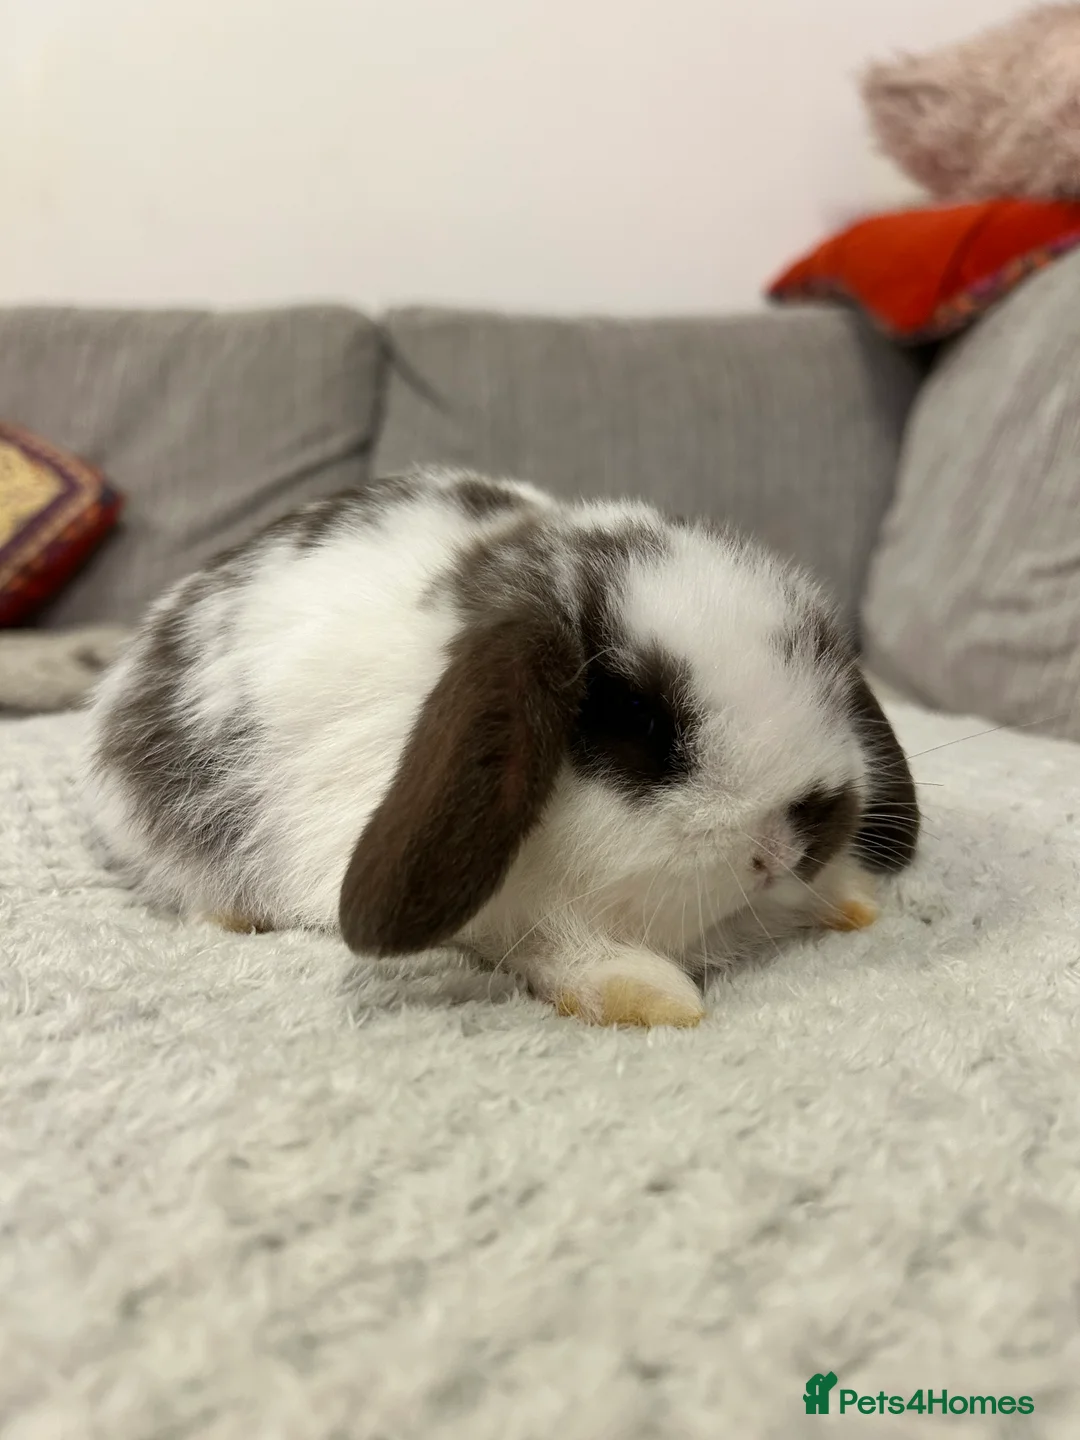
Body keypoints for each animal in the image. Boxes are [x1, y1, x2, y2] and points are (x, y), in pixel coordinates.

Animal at [84, 466, 919, 1028]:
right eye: (637, 718)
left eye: (830, 674)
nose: (783, 845)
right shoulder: (510, 916)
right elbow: (555, 949)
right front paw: (650, 995)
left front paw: (850, 898)